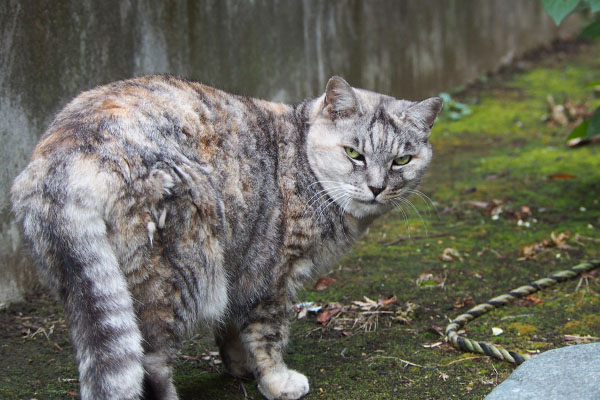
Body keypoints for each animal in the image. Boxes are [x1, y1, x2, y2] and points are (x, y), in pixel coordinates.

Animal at [9, 76, 440, 400]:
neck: (300, 162)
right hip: (183, 270)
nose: (377, 188)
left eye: (402, 160)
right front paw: (277, 381)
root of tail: (66, 154)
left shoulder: (240, 263)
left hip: (84, 281)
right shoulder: (271, 274)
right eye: (354, 153)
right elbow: (268, 334)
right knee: (150, 360)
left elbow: (232, 325)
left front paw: (240, 367)